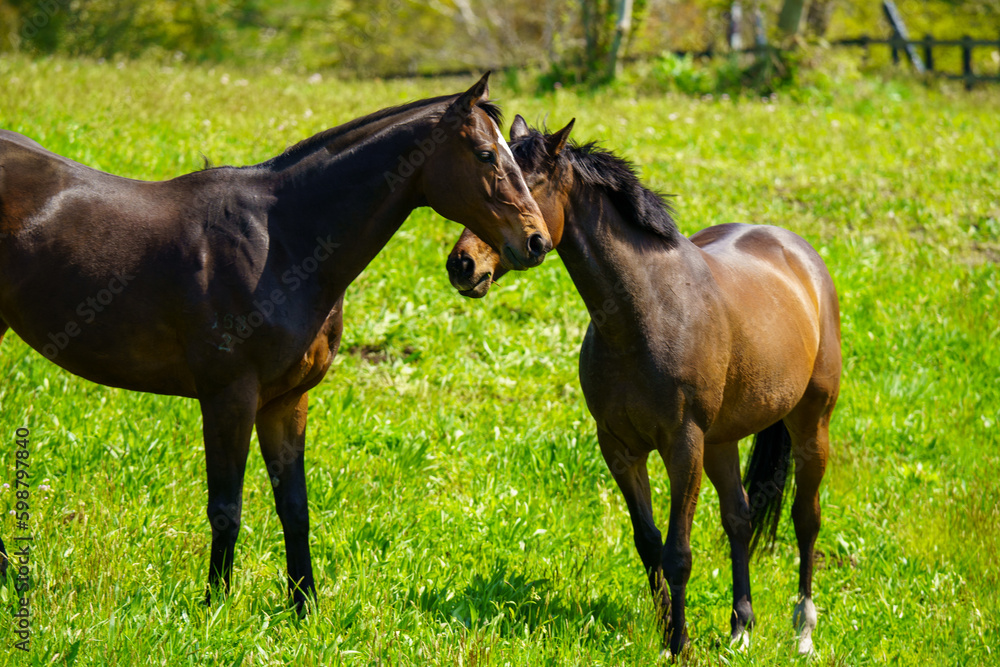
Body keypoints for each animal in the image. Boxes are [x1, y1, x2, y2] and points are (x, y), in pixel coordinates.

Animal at [0, 74, 556, 612]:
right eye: (485, 155)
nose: (536, 242)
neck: (281, 240)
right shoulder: (229, 396)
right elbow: (226, 507)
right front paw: (215, 607)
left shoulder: (287, 401)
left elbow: (295, 507)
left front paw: (303, 606)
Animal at [450, 116, 840, 656]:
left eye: (525, 186)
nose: (462, 264)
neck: (645, 315)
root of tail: (799, 254)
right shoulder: (620, 447)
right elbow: (648, 542)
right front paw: (666, 633)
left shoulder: (682, 446)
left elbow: (678, 552)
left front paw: (680, 645)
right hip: (722, 440)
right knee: (739, 518)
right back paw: (740, 628)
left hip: (810, 424)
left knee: (806, 517)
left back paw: (803, 631)